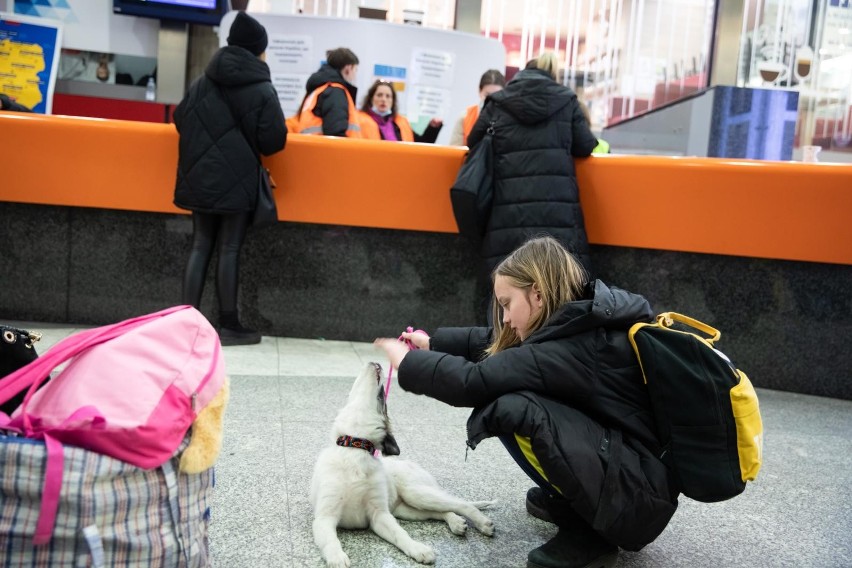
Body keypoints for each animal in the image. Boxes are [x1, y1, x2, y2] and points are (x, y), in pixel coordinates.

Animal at [312, 362, 500, 564]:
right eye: (383, 399)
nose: (377, 363)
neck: (355, 447)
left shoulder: (380, 514)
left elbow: (400, 534)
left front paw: (417, 547)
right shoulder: (324, 517)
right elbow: (331, 541)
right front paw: (337, 558)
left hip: (415, 492)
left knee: (460, 504)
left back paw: (482, 523)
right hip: (407, 509)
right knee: (441, 511)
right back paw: (456, 522)